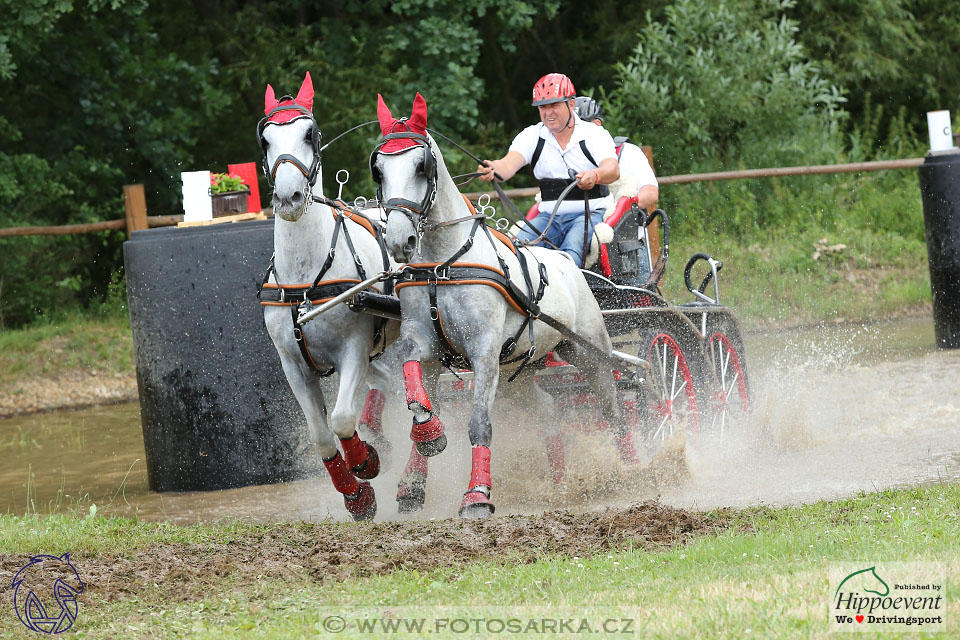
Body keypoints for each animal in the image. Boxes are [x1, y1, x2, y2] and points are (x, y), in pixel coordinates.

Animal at [258, 72, 404, 520]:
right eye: (266, 139)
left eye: (310, 133)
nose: (288, 198)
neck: (306, 281)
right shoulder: (294, 365)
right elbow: (322, 436)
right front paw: (356, 496)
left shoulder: (353, 348)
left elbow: (341, 419)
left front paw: (365, 462)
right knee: (387, 384)